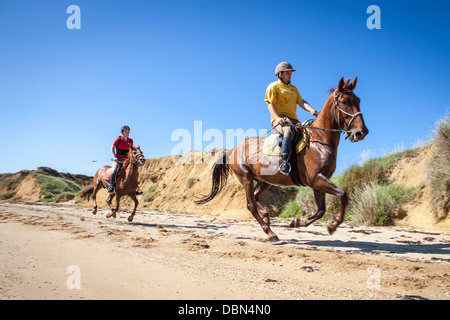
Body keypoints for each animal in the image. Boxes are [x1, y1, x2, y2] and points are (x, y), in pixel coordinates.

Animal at [197, 78, 370, 240]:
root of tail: (233, 149)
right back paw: (270, 233)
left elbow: (321, 209)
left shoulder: (318, 181)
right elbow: (342, 195)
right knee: (250, 204)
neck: (320, 140)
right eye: (344, 102)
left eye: (358, 100)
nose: (362, 132)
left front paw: (297, 222)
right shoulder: (316, 178)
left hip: (264, 181)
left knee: (255, 196)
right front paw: (333, 225)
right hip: (245, 177)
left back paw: (266, 218)